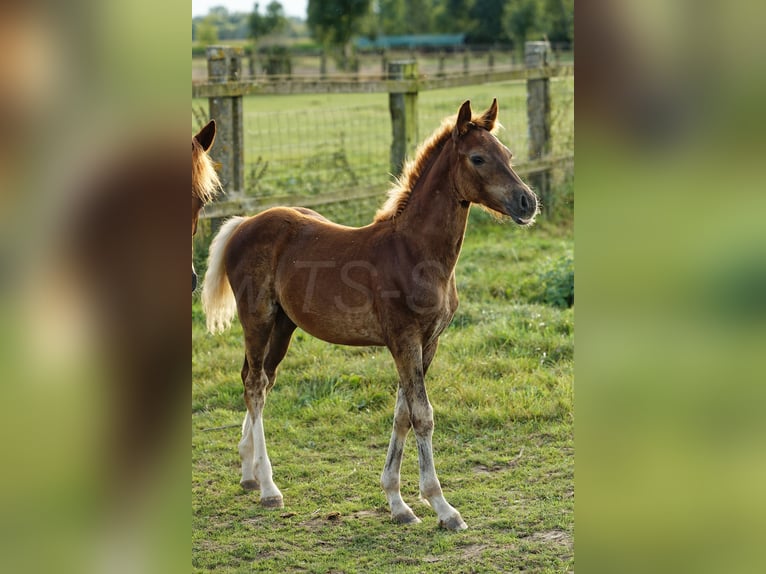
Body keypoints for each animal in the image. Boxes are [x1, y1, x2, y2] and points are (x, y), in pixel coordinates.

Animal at [201, 99, 538, 530]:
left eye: (508, 155)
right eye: (478, 158)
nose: (527, 202)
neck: (414, 251)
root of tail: (245, 222)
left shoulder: (428, 343)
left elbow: (402, 415)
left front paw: (398, 503)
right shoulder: (404, 340)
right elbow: (422, 415)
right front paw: (442, 506)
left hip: (283, 325)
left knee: (259, 378)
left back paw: (248, 473)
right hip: (257, 318)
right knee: (255, 386)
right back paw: (269, 488)